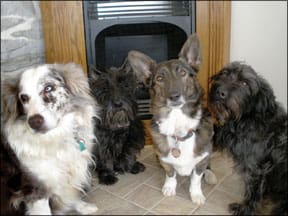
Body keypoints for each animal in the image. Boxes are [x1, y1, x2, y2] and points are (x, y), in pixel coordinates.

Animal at [128, 34, 216, 206]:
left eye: (182, 73)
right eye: (159, 78)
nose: (174, 96)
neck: (178, 122)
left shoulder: (202, 158)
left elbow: (196, 178)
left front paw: (196, 194)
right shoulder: (165, 159)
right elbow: (170, 173)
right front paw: (169, 187)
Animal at [208, 61, 286, 215]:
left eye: (244, 83)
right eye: (224, 73)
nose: (220, 92)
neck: (248, 117)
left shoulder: (255, 167)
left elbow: (253, 190)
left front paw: (245, 209)